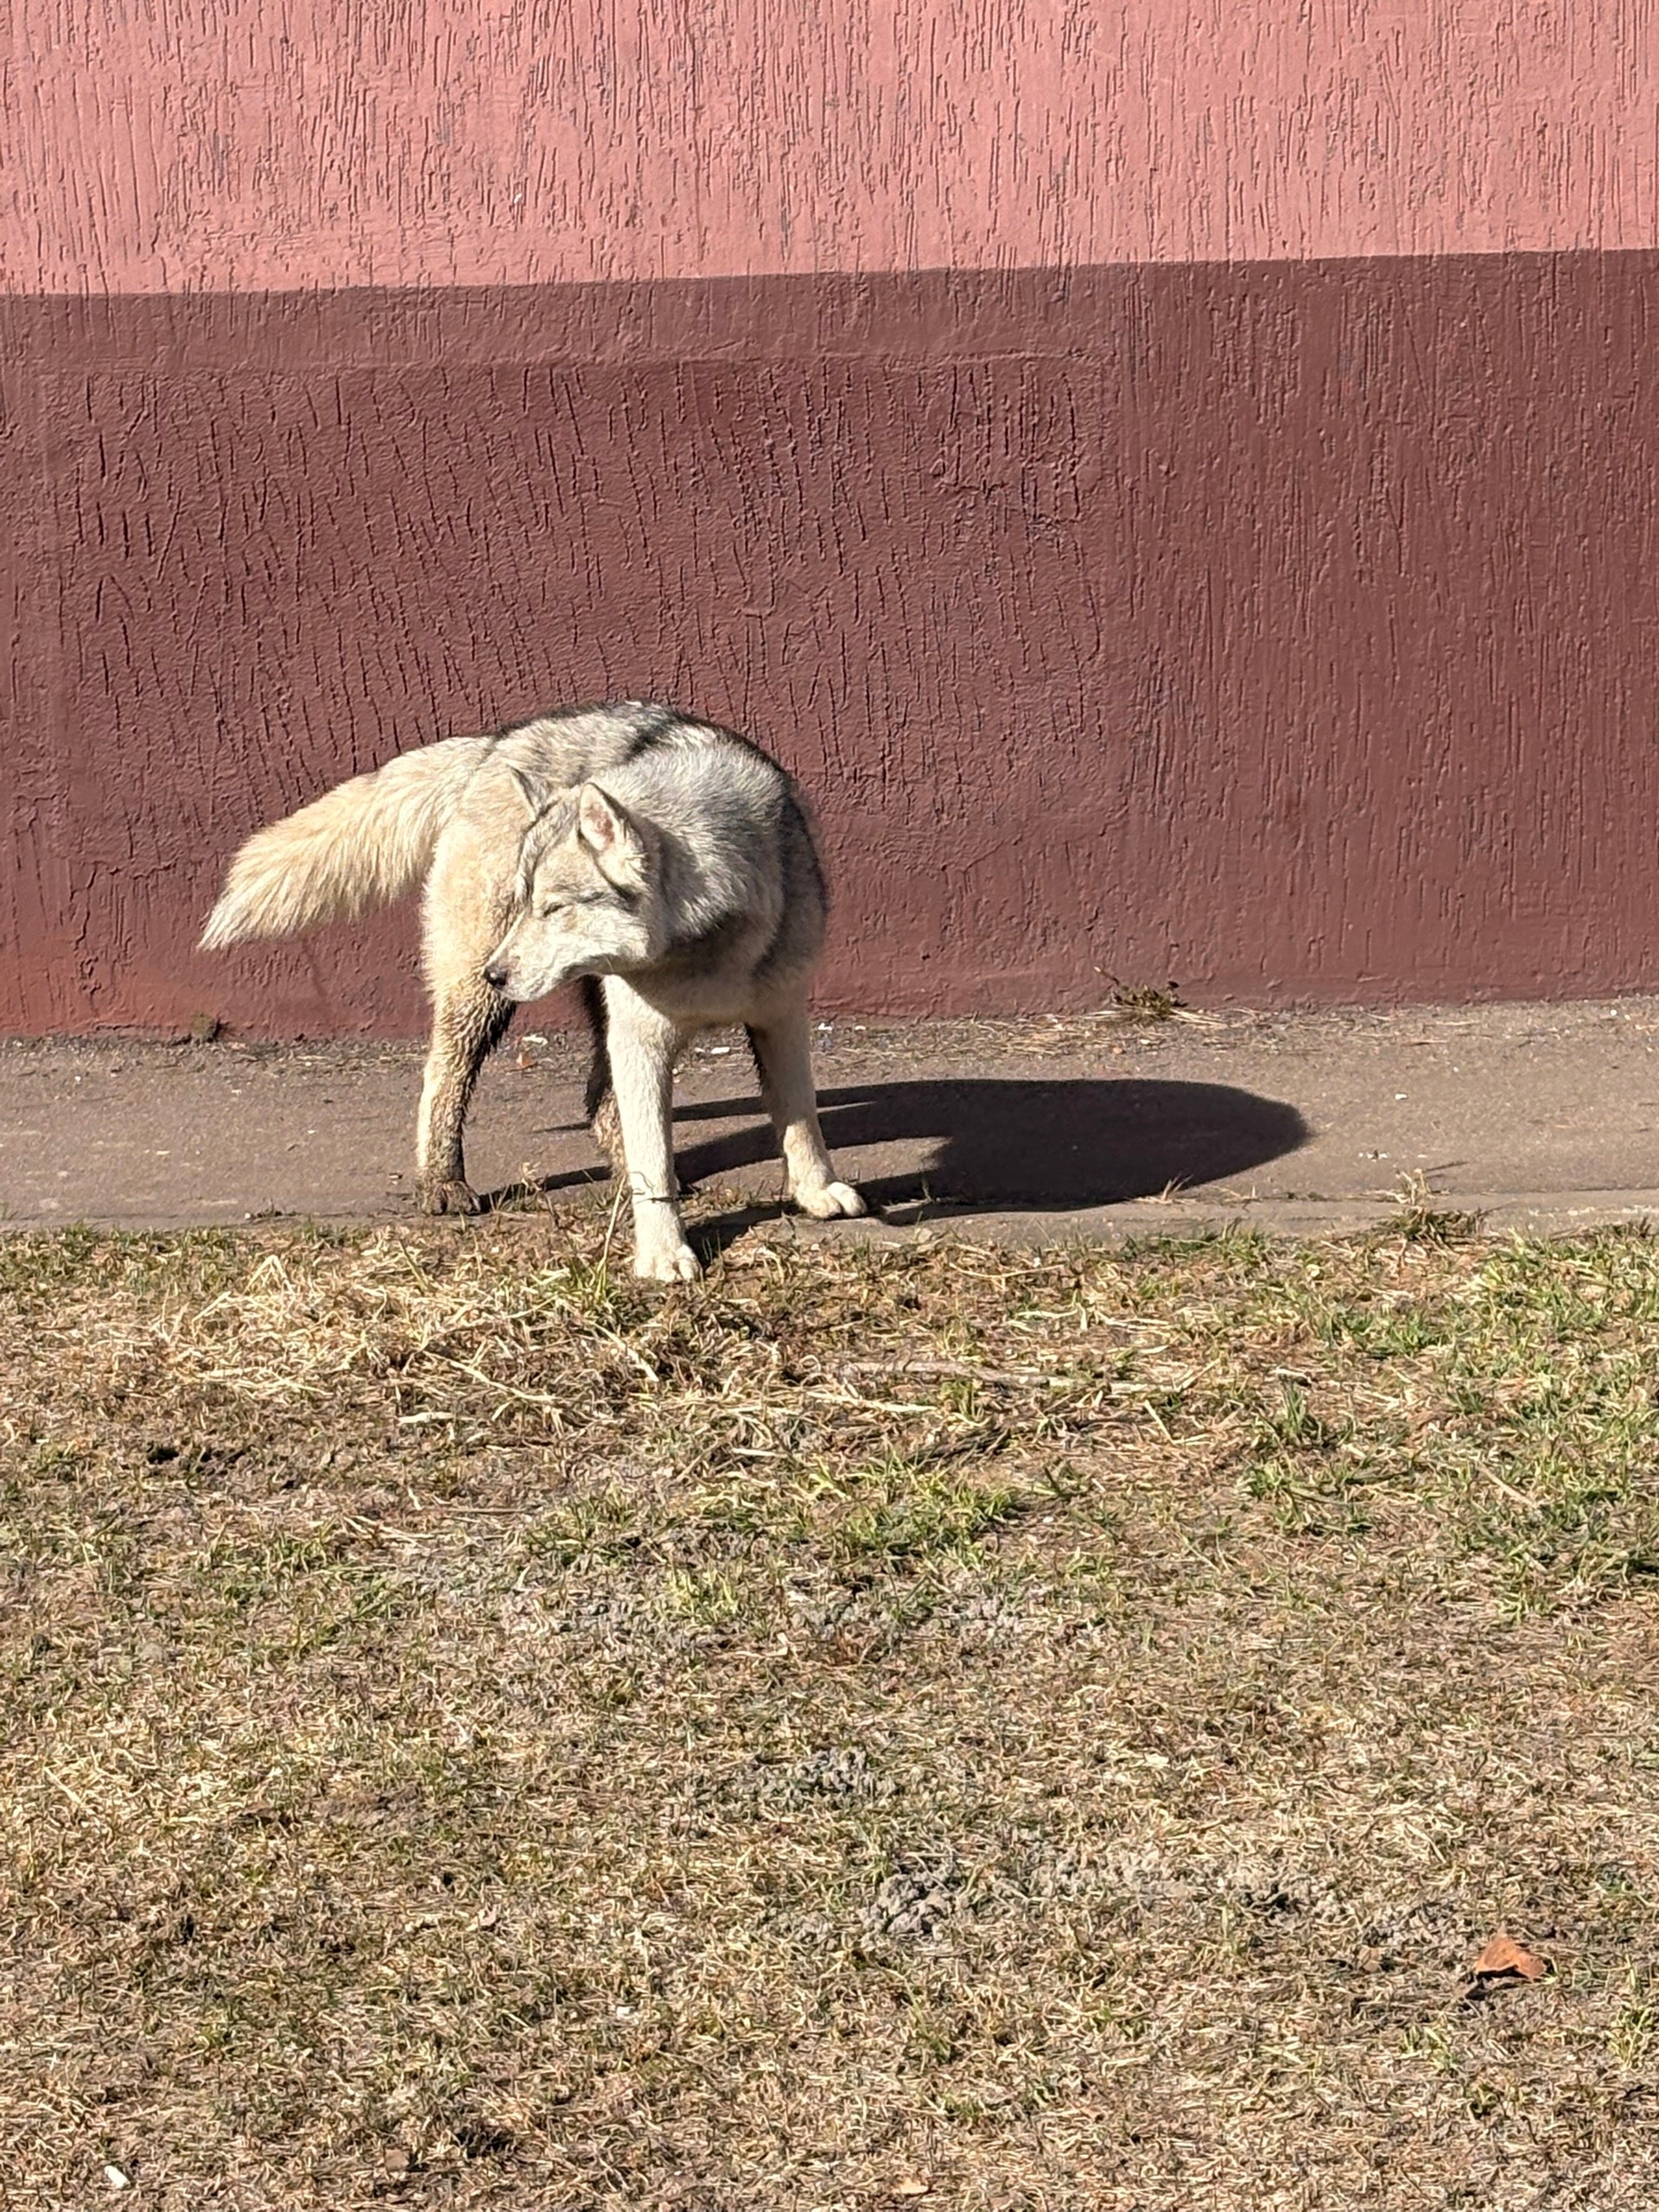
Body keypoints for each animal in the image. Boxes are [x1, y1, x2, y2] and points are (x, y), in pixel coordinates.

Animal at [201, 702, 865, 1278]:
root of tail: (493, 745)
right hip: (484, 1006)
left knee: (599, 1100)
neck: (707, 942)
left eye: (552, 909)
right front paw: (662, 1254)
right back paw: (443, 1182)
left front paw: (816, 1191)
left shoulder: (780, 1018)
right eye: (529, 904)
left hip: (589, 1008)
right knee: (443, 1077)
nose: (496, 971)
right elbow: (654, 1155)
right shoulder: (642, 1037)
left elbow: (801, 1117)